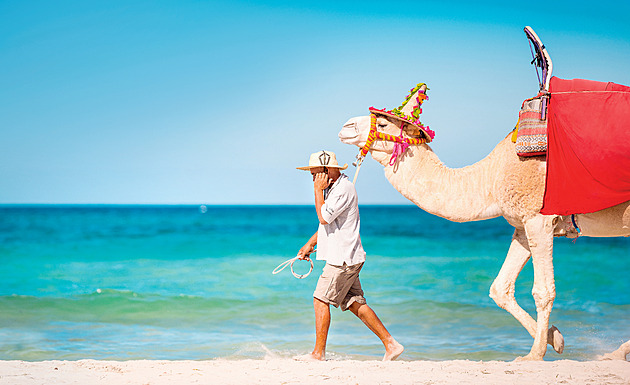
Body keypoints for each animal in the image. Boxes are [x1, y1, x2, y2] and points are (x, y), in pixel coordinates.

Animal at [340, 84, 630, 360]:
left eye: (383, 124)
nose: (346, 126)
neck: (491, 177)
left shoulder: (539, 218)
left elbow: (543, 290)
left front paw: (534, 354)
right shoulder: (522, 224)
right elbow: (500, 288)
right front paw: (555, 338)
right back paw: (615, 352)